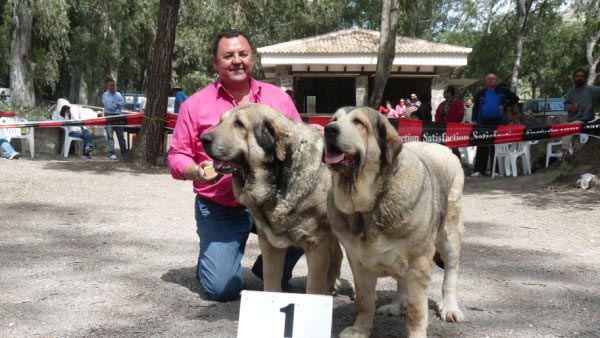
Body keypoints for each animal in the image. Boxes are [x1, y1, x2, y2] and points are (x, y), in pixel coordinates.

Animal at [200, 104, 342, 294]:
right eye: (220, 121)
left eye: (239, 124)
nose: (203, 139)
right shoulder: (269, 242)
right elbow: (271, 281)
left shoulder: (317, 244)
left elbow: (314, 287)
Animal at [324, 107, 464, 336]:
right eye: (334, 119)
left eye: (358, 123)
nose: (329, 129)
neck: (368, 207)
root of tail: (440, 147)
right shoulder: (358, 263)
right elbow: (364, 301)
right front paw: (360, 330)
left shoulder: (419, 262)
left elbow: (417, 309)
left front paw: (416, 334)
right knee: (401, 281)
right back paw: (397, 305)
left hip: (449, 234)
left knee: (451, 271)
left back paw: (450, 307)